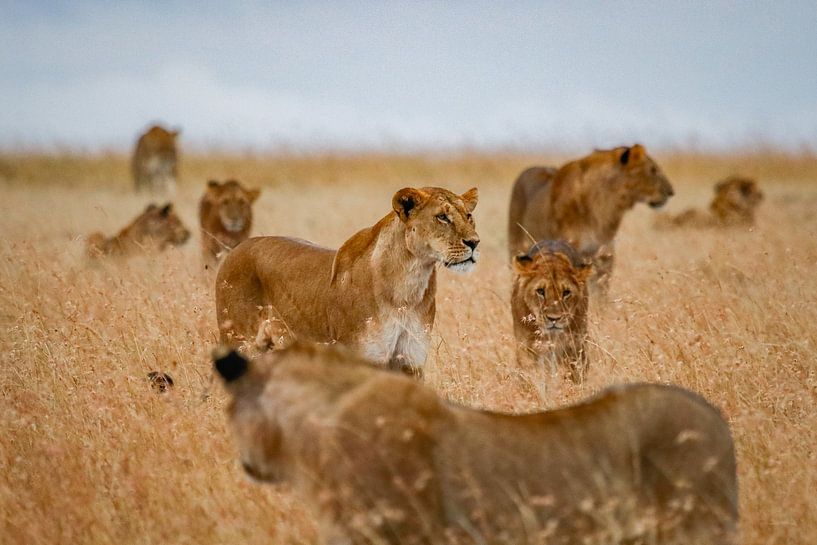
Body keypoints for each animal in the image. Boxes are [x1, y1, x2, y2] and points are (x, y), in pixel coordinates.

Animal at [215, 186, 479, 377]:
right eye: (442, 217)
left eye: (468, 216)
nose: (475, 242)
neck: (408, 287)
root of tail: (237, 249)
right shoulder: (364, 358)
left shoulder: (410, 361)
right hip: (240, 343)